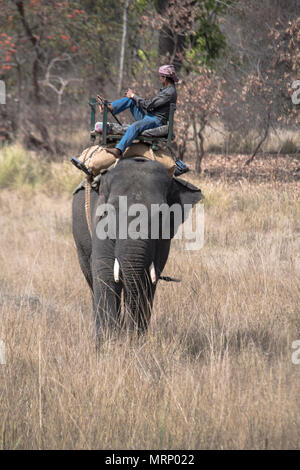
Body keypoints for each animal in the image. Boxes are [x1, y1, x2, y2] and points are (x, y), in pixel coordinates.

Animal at [72, 158, 203, 338]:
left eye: (161, 214)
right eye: (112, 210)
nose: (128, 333)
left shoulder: (164, 239)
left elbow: (147, 279)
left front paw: (135, 340)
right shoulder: (99, 222)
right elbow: (105, 272)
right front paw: (109, 342)